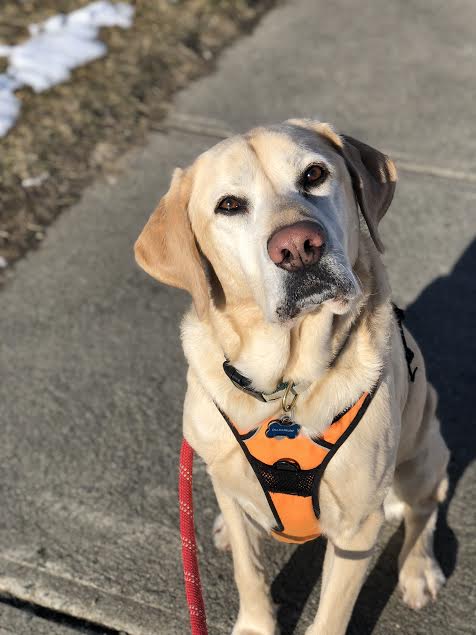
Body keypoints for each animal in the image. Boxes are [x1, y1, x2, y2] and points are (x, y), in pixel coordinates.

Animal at [135, 120, 450, 635]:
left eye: (315, 174)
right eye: (229, 205)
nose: (299, 246)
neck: (285, 386)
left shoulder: (356, 528)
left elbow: (331, 615)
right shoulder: (226, 480)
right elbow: (248, 570)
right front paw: (255, 624)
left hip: (423, 453)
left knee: (425, 507)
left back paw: (418, 569)